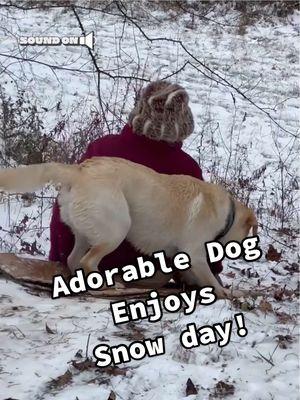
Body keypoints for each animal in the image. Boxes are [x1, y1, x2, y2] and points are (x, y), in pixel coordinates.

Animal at [0, 158, 258, 298]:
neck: (227, 214)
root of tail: (80, 170)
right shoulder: (195, 254)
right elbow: (211, 280)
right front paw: (225, 293)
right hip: (118, 228)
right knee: (87, 262)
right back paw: (109, 285)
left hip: (86, 234)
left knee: (74, 260)